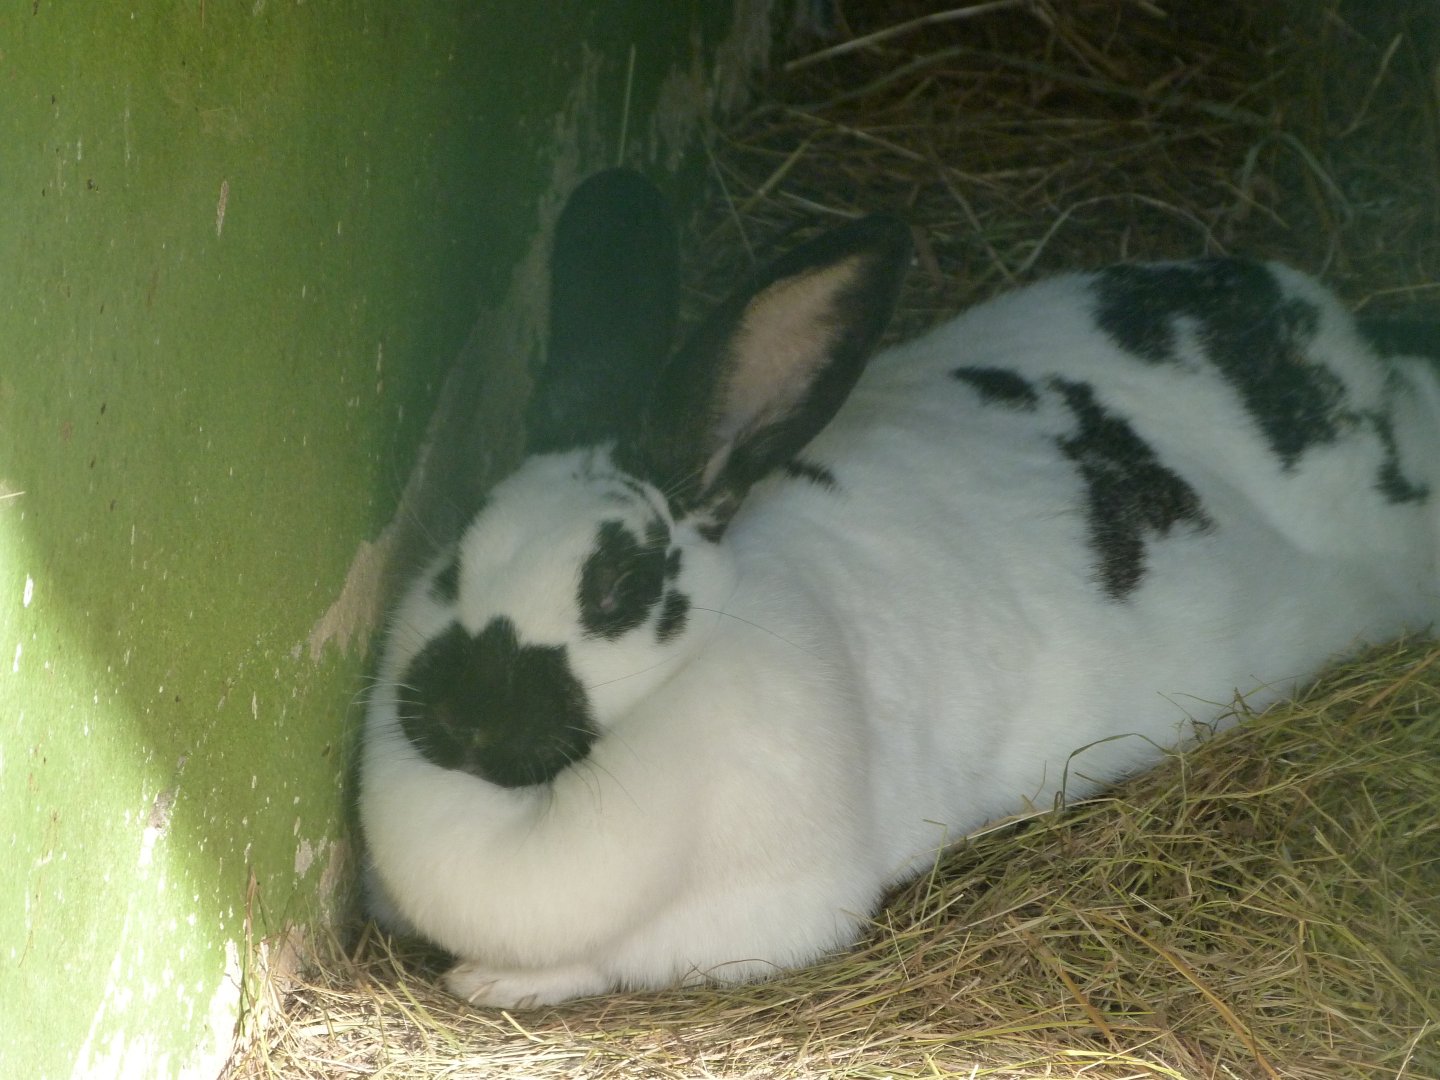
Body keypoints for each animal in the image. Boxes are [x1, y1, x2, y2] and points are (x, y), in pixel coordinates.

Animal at [359, 167, 1440, 1009]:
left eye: (619, 586)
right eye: (456, 558)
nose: (458, 721)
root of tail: (1334, 344)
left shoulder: (761, 916)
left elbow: (607, 963)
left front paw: (491, 981)